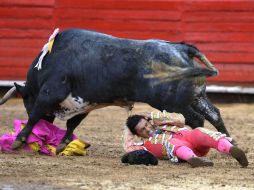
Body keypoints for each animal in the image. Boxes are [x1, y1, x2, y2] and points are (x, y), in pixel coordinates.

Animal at [0, 28, 230, 153]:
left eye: (26, 101)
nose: (47, 124)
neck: (48, 62)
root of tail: (182, 48)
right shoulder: (85, 102)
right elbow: (73, 123)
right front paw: (62, 144)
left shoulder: (51, 91)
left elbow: (35, 115)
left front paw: (19, 141)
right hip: (196, 96)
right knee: (214, 114)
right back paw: (226, 141)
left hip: (172, 102)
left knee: (196, 119)